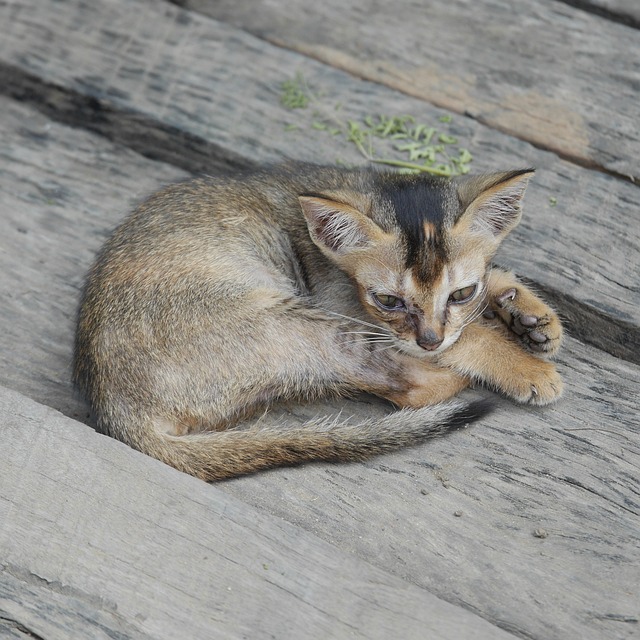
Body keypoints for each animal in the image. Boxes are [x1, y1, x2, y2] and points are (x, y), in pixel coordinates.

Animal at [75, 165, 564, 480]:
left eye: (461, 292)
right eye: (388, 300)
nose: (429, 341)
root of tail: (116, 410)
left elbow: (479, 299)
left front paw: (530, 315)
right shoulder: (355, 311)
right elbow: (467, 338)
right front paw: (527, 368)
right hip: (300, 322)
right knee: (417, 388)